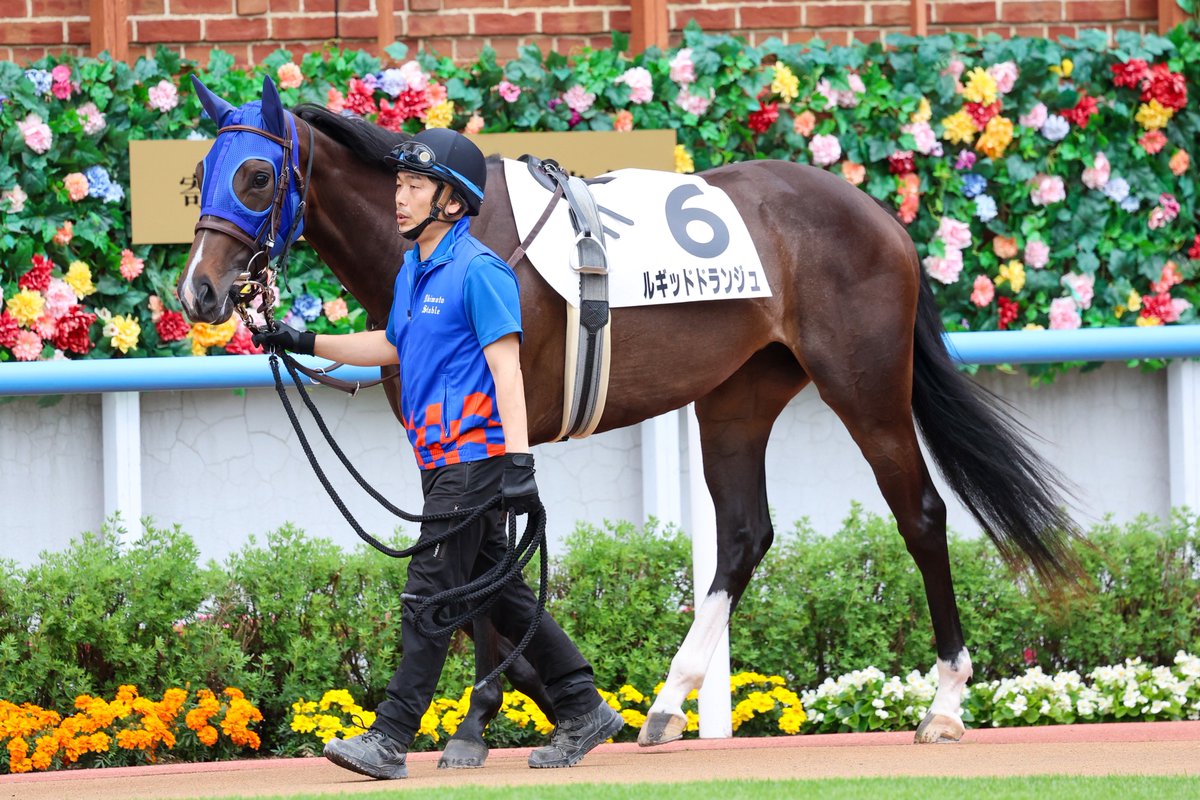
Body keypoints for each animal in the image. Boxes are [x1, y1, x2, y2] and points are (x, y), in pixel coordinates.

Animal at [178, 76, 1083, 753]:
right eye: (199, 178)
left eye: (257, 177)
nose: (200, 292)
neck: (459, 239)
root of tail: (879, 216)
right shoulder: (449, 440)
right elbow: (482, 566)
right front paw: (553, 700)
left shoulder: (493, 430)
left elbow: (482, 567)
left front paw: (485, 720)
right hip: (736, 400)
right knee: (745, 534)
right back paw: (668, 702)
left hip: (864, 387)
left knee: (921, 514)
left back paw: (945, 703)